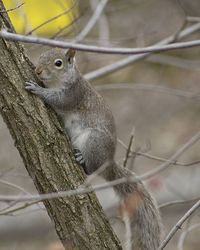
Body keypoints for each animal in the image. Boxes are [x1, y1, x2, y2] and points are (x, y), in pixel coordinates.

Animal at [25, 47, 162, 249]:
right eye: (42, 56)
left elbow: (57, 100)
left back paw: (82, 160)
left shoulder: (73, 94)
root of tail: (108, 162)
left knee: (91, 169)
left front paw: (37, 89)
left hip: (93, 141)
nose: (38, 70)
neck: (61, 81)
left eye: (58, 63)